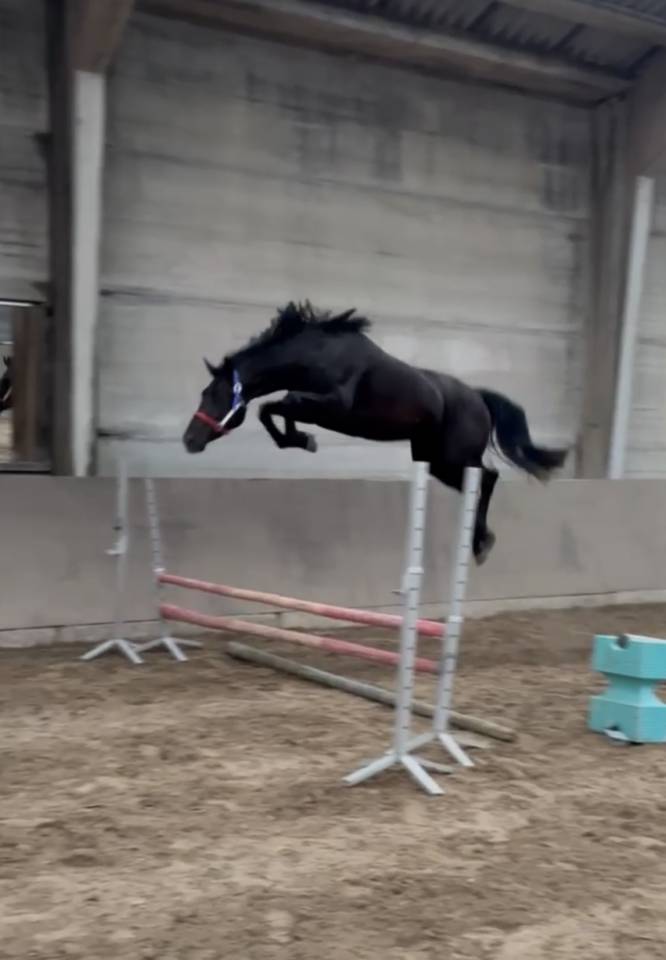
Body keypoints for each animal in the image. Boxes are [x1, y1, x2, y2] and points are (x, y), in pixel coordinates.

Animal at [183, 302, 567, 564]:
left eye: (213, 395)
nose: (189, 440)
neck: (316, 354)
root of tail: (479, 397)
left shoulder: (332, 404)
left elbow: (273, 407)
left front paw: (303, 440)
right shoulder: (312, 406)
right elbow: (277, 411)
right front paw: (302, 441)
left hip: (453, 457)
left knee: (488, 477)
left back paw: (480, 544)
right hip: (434, 460)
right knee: (481, 481)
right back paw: (478, 540)